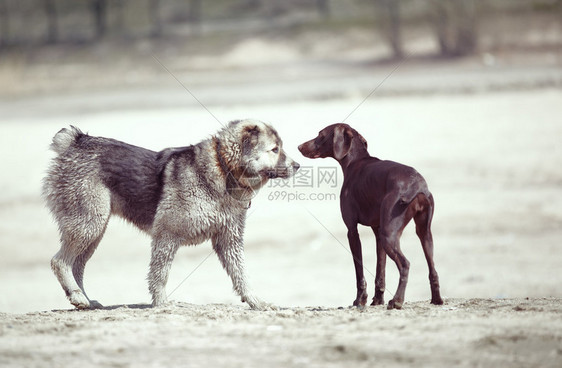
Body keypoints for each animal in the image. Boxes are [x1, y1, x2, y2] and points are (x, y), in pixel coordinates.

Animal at [43, 119, 298, 310]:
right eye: (274, 149)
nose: (297, 165)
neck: (223, 168)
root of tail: (75, 141)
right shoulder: (167, 234)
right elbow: (160, 273)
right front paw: (162, 303)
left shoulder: (229, 239)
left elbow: (242, 275)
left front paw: (257, 302)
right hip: (88, 223)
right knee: (59, 261)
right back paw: (77, 296)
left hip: (93, 228)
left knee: (77, 265)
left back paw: (84, 299)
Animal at [298, 124, 442, 310]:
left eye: (320, 135)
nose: (299, 147)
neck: (354, 162)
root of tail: (416, 185)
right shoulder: (377, 231)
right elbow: (380, 271)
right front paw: (377, 300)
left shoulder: (352, 230)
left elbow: (359, 272)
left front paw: (360, 300)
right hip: (423, 233)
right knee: (433, 268)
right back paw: (437, 299)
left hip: (390, 235)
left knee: (405, 265)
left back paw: (397, 300)